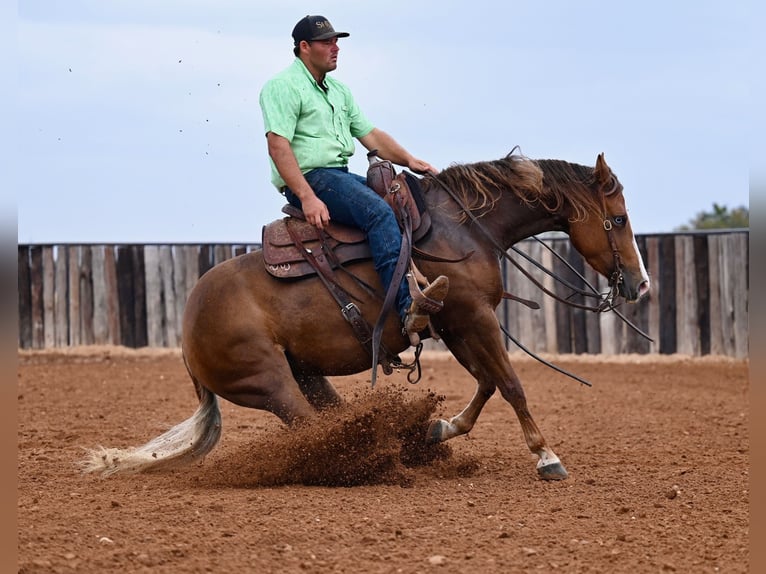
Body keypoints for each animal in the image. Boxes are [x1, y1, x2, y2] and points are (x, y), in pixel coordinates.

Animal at [82, 152, 648, 482]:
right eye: (618, 218)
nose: (641, 285)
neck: (462, 228)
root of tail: (186, 334)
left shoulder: (456, 324)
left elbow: (487, 382)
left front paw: (439, 428)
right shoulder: (473, 317)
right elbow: (510, 384)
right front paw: (546, 456)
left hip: (305, 374)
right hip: (269, 382)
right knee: (312, 431)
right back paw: (364, 463)